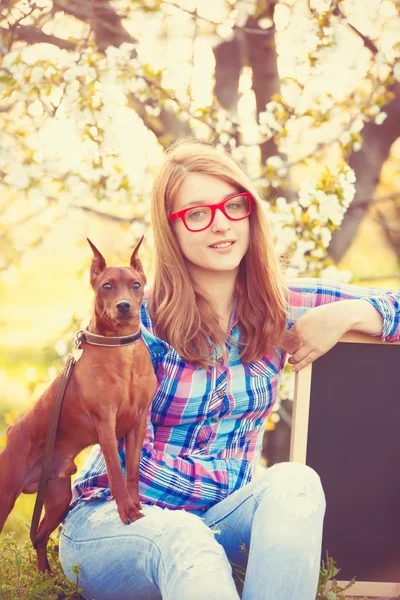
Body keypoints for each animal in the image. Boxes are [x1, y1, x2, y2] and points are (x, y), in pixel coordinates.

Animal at [0, 237, 156, 568]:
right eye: (106, 286)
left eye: (136, 285)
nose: (124, 306)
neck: (121, 351)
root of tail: (11, 432)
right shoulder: (105, 424)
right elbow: (116, 474)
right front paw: (125, 511)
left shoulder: (137, 422)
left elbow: (132, 472)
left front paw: (135, 504)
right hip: (5, 495)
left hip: (59, 498)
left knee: (39, 536)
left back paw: (45, 576)